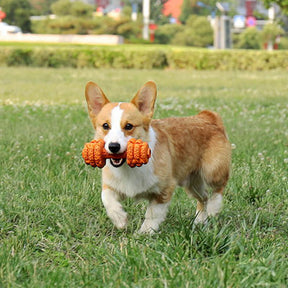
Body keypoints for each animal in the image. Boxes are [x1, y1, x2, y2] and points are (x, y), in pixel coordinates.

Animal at [85, 80, 232, 233]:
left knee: (218, 188)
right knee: (204, 197)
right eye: (105, 125)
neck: (129, 168)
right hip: (192, 184)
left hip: (212, 172)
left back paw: (214, 208)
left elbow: (152, 214)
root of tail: (207, 117)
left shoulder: (164, 189)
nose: (113, 147)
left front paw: (144, 233)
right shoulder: (111, 186)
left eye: (129, 126)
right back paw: (199, 221)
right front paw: (120, 220)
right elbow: (106, 199)